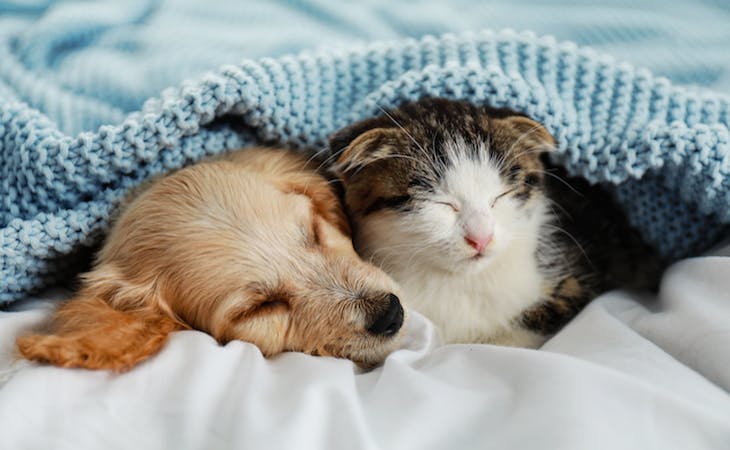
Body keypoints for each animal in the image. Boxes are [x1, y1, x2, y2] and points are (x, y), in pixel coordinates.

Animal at [330, 96, 660, 346]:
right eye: (442, 203)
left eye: (500, 196)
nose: (481, 238)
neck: (465, 284)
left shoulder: (587, 271)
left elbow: (535, 319)